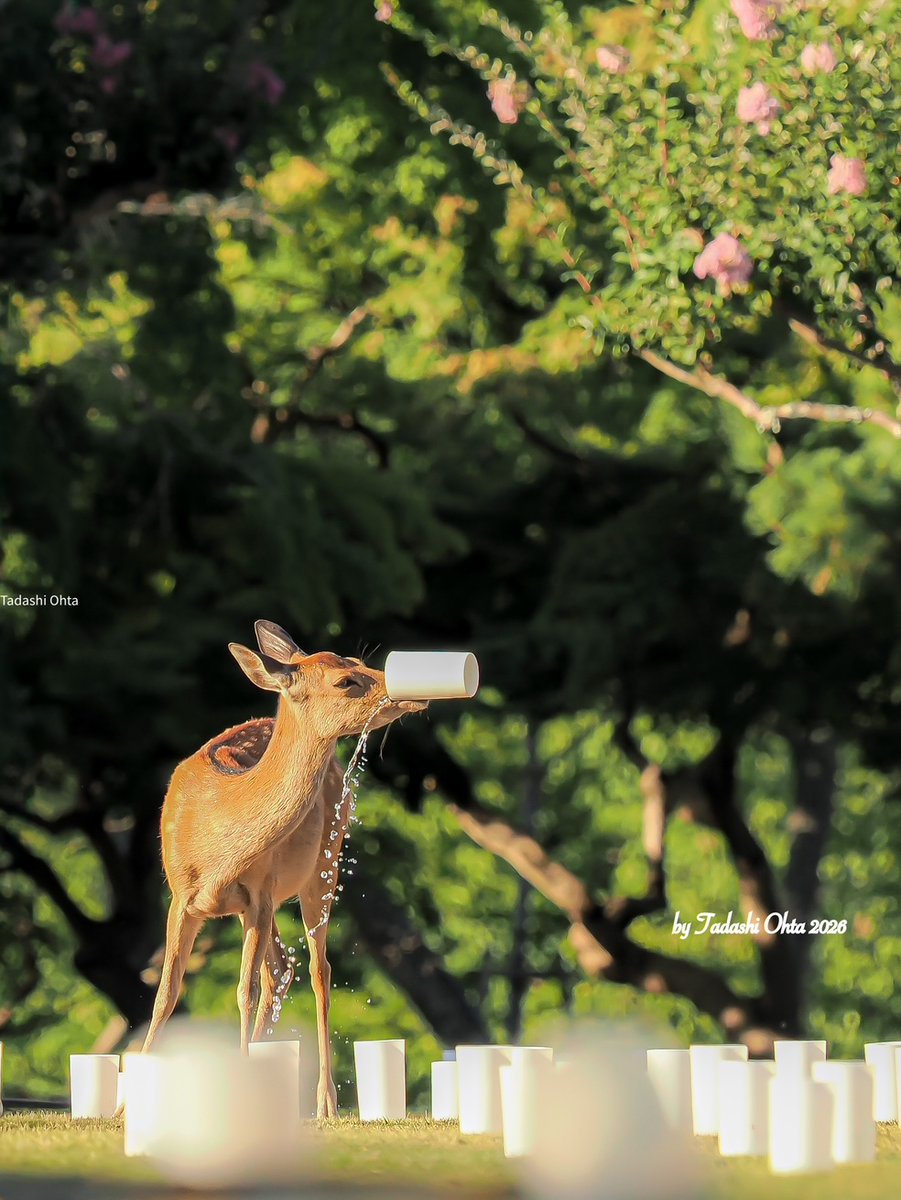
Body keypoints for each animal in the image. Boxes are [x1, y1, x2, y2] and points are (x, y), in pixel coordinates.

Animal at [140, 620, 427, 1117]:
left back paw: (325, 1102)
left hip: (323, 865)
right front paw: (124, 1108)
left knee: (316, 970)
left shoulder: (258, 893)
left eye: (359, 661)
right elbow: (166, 993)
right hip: (270, 898)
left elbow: (243, 990)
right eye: (346, 679)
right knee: (281, 970)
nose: (406, 690)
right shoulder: (182, 896)